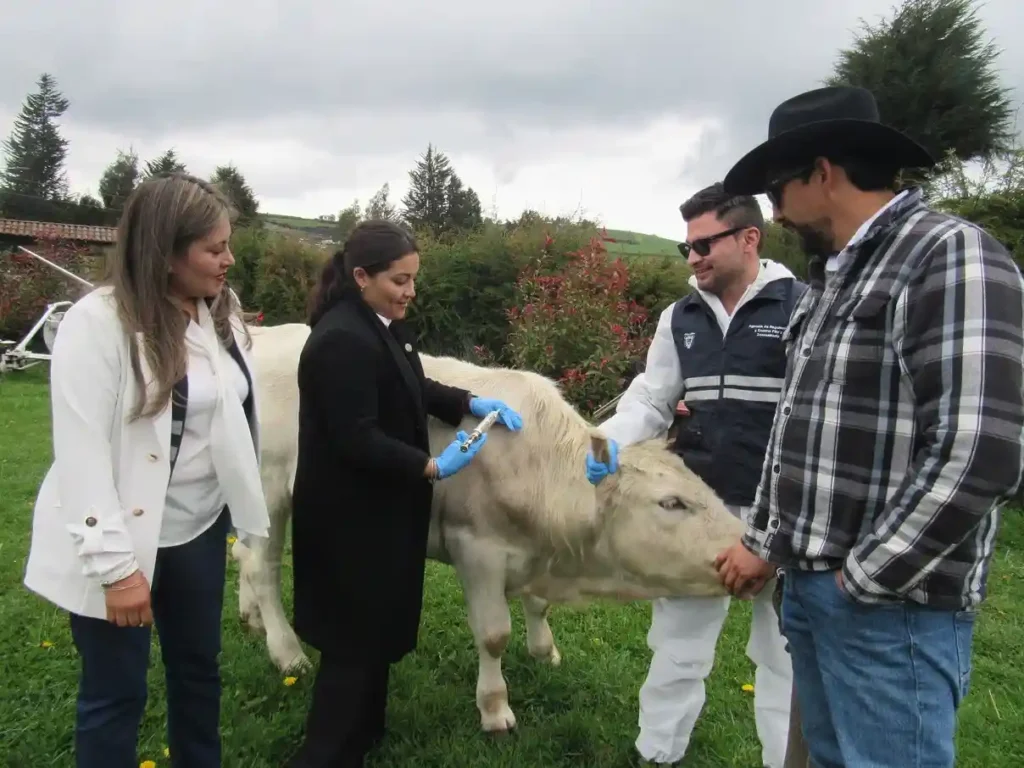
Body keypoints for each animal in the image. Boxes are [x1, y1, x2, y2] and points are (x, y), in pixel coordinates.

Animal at [232, 321, 745, 737]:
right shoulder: (476, 549)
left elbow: (537, 605)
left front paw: (544, 651)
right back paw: (287, 650)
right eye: (672, 503)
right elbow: (494, 634)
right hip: (269, 488)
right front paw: (495, 709)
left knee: (242, 555)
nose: (744, 550)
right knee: (261, 565)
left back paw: (251, 617)